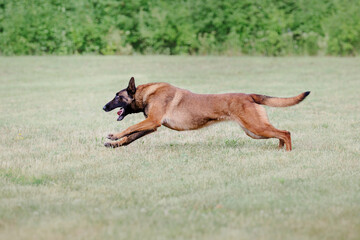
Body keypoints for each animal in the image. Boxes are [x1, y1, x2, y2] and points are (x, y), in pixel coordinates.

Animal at [103, 78, 310, 151]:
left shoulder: (152, 121)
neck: (146, 93)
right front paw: (115, 144)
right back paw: (280, 149)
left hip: (255, 128)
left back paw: (287, 152)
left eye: (117, 96)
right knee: (280, 133)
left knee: (285, 133)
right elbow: (130, 137)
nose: (104, 107)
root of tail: (248, 95)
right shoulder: (151, 126)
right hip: (254, 131)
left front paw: (113, 135)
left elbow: (129, 128)